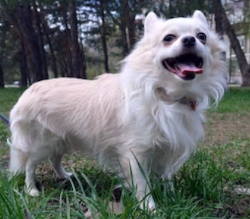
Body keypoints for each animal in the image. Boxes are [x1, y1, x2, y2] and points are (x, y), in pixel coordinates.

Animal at [8, 10, 227, 210]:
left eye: (202, 36)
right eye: (168, 38)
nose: (190, 39)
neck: (166, 96)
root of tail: (28, 91)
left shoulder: (166, 148)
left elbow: (166, 176)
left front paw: (172, 196)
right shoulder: (135, 153)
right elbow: (142, 183)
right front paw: (149, 207)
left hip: (61, 138)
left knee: (56, 158)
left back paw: (65, 176)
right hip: (41, 143)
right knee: (30, 164)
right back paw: (31, 190)